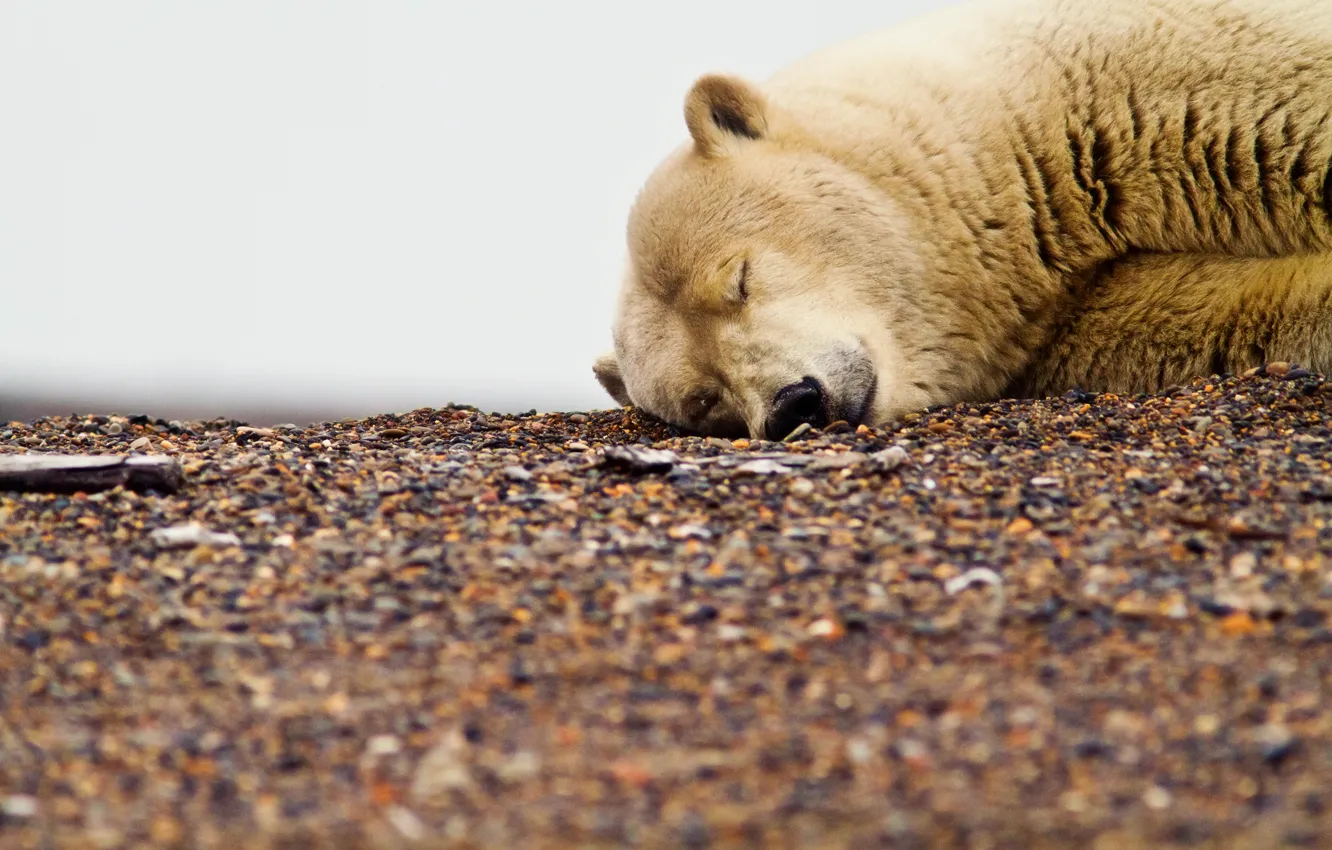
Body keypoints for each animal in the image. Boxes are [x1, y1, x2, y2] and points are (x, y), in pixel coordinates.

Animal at [592, 0, 1332, 440]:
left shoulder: (1172, 71)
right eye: (703, 400)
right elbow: (1216, 314)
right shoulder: (1064, 318)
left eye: (739, 278)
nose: (793, 405)